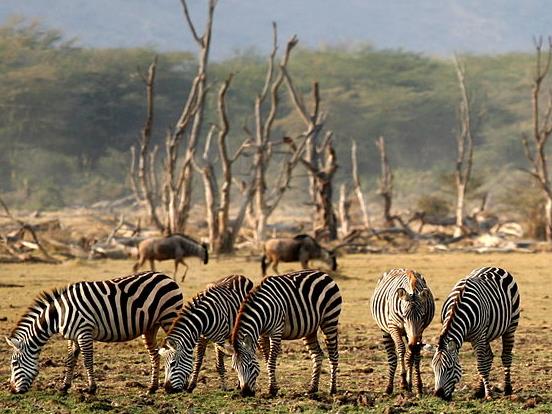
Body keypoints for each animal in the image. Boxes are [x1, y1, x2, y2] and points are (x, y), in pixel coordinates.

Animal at [4, 272, 183, 394]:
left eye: (14, 364)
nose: (12, 390)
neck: (58, 315)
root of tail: (167, 277)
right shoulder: (72, 337)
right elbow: (70, 360)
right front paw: (65, 386)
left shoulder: (84, 332)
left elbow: (87, 361)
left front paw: (91, 388)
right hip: (150, 327)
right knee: (155, 354)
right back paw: (152, 388)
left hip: (169, 318)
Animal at [229, 268, 340, 398]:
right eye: (234, 368)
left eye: (250, 365)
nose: (245, 393)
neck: (262, 312)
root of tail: (324, 274)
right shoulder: (262, 335)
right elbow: (267, 360)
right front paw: (273, 387)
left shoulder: (276, 332)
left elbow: (271, 362)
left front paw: (272, 390)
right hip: (310, 328)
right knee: (317, 355)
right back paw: (312, 388)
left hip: (330, 320)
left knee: (333, 355)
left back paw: (332, 389)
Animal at [432, 266, 520, 400]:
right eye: (433, 368)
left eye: (449, 369)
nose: (438, 395)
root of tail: (495, 267)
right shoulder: (477, 337)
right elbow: (483, 364)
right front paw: (482, 391)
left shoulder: (478, 337)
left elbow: (481, 366)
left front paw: (488, 394)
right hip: (486, 335)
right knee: (489, 357)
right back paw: (479, 390)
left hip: (510, 326)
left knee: (506, 357)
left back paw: (507, 389)